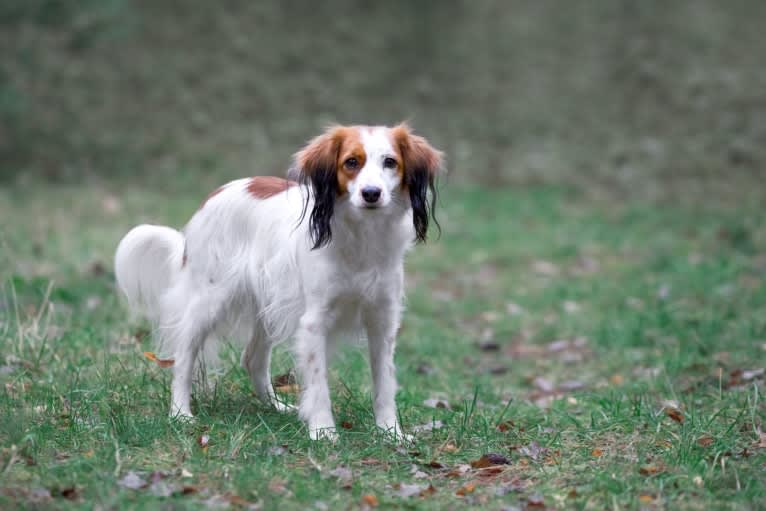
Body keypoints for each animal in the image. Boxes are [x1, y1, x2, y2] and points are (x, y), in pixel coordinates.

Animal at [111, 123, 440, 440]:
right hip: (208, 302)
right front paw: (323, 431)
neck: (362, 238)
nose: (371, 193)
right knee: (183, 357)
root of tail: (216, 194)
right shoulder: (314, 321)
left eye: (390, 162)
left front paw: (391, 432)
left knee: (252, 359)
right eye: (351, 162)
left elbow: (384, 383)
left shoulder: (382, 320)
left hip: (269, 303)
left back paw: (276, 407)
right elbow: (319, 383)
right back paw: (181, 413)